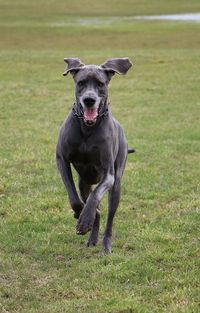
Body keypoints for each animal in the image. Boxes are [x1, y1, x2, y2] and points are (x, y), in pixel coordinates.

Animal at [55, 57, 134, 252]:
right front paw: (80, 215)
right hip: (83, 182)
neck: (87, 128)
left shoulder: (108, 174)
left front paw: (84, 220)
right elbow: (74, 197)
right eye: (81, 83)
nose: (89, 99)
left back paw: (105, 246)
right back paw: (92, 236)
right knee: (92, 205)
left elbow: (96, 195)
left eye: (100, 84)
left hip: (116, 187)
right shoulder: (61, 159)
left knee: (109, 219)